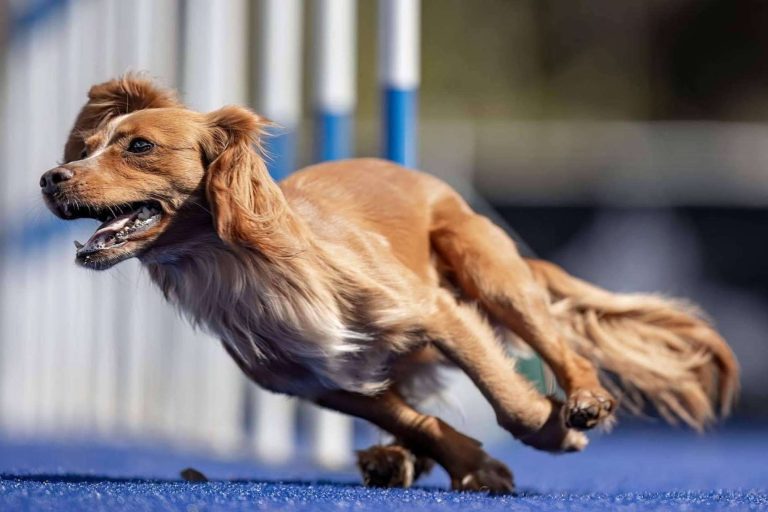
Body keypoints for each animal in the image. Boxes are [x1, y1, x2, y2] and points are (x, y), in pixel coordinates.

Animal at [40, 76, 736, 492]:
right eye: (88, 144)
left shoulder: (436, 314)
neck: (246, 267)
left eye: (138, 146)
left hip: (488, 270)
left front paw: (548, 427)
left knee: (562, 347)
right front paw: (473, 463)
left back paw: (583, 400)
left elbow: (504, 395)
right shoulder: (319, 382)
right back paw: (391, 459)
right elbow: (418, 421)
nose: (50, 177)